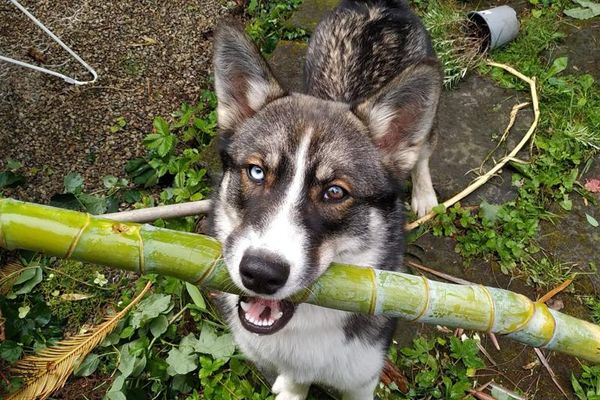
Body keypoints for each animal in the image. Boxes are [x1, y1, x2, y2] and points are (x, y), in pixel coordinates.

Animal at [210, 1, 440, 398]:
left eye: (335, 192)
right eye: (256, 172)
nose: (260, 274)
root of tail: (381, 6)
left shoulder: (362, 379)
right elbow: (294, 382)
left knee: (423, 152)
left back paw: (424, 193)